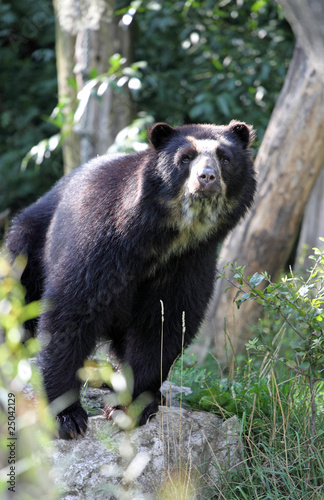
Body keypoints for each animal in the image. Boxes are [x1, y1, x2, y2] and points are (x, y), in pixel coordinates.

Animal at [6, 121, 256, 438]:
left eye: (225, 158)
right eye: (185, 158)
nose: (207, 177)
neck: (167, 235)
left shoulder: (189, 261)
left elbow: (164, 323)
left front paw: (130, 406)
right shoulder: (102, 245)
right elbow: (71, 312)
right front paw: (68, 416)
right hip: (29, 244)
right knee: (19, 301)